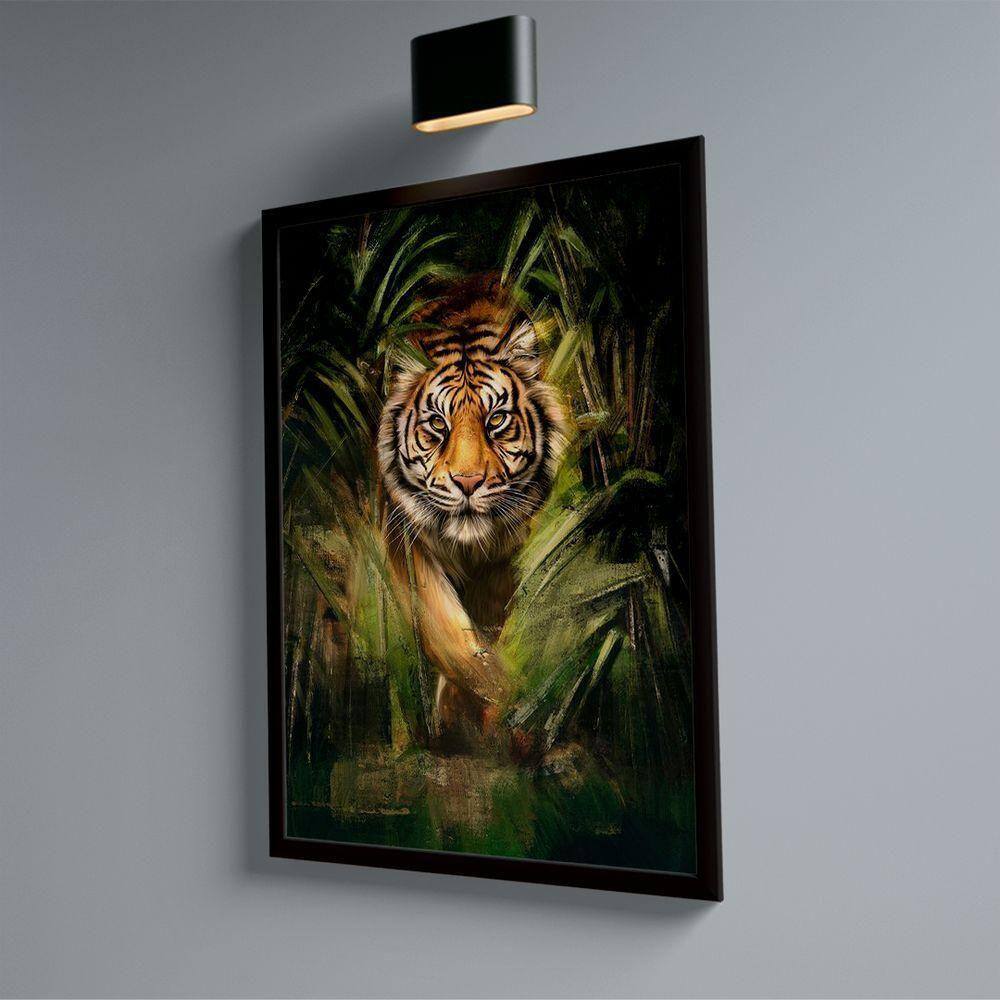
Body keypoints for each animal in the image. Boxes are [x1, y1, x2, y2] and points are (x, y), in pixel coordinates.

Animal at [377, 273, 567, 739]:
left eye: (495, 419)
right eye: (437, 424)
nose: (467, 482)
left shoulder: (504, 555)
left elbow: (484, 627)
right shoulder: (405, 540)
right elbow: (448, 631)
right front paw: (505, 701)